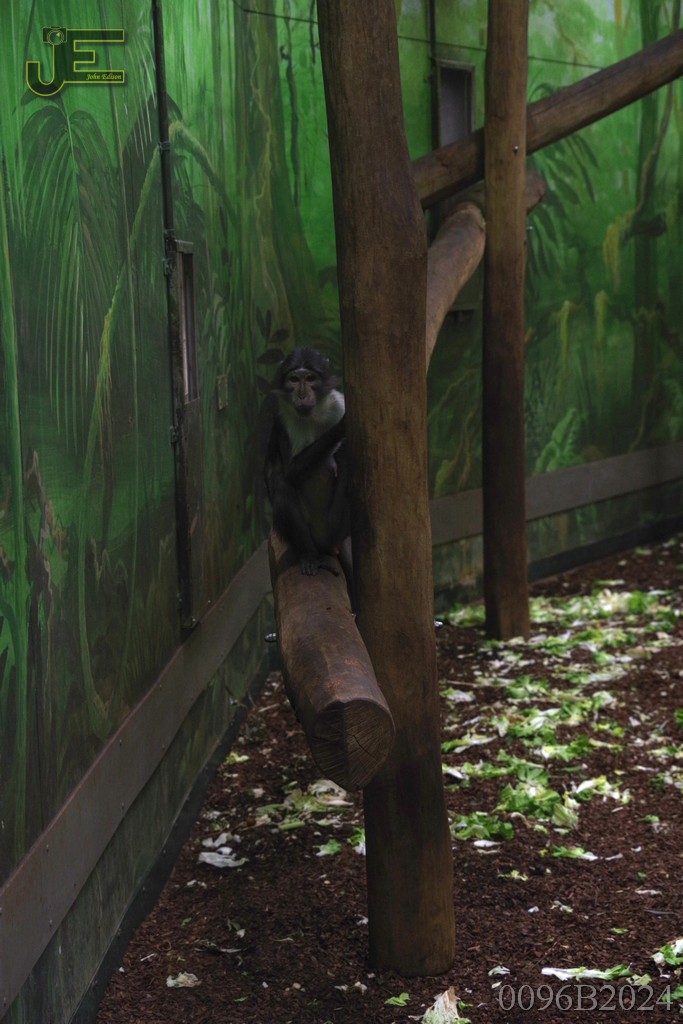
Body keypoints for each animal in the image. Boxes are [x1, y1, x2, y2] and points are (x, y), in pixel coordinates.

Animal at [261, 347, 353, 592]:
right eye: (294, 380)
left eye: (310, 379)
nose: (302, 394)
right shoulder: (281, 414)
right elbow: (290, 471)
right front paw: (342, 428)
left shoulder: (338, 403)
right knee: (283, 487)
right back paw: (311, 556)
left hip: (335, 526)